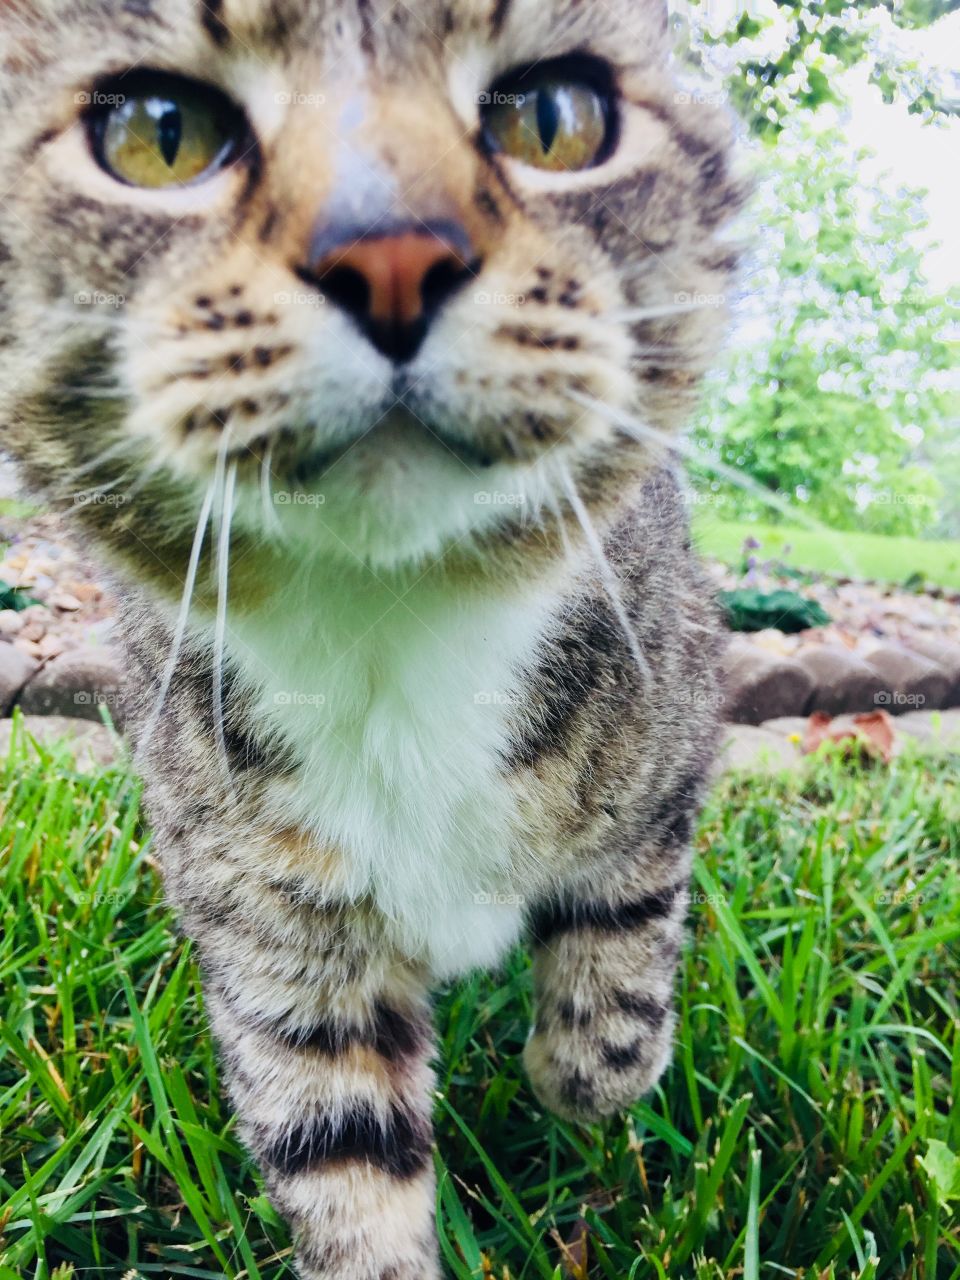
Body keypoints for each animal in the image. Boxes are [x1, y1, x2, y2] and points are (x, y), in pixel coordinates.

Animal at [0, 5, 742, 1274]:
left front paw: (579, 1076)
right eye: (157, 133)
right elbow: (341, 1152)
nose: (392, 254)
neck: (390, 626)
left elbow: (623, 937)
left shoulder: (671, 708)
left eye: (557, 118)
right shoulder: (272, 917)